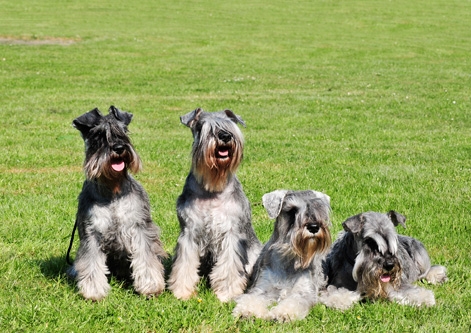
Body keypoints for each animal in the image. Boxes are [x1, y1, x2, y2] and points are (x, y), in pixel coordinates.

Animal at [68, 107, 168, 300]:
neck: (113, 191)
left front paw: (150, 286)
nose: (119, 148)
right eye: (99, 134)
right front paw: (94, 291)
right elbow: (91, 262)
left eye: (124, 131)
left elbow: (146, 258)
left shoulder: (140, 227)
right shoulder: (92, 232)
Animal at [167, 108, 262, 300]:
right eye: (202, 127)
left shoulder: (231, 233)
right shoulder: (189, 232)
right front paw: (182, 292)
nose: (225, 136)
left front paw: (227, 294)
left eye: (230, 124)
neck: (212, 188)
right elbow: (184, 264)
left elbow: (230, 266)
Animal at [233, 189, 332, 322]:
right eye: (292, 211)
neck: (289, 258)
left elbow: (294, 302)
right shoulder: (262, 288)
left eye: (318, 207)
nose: (314, 227)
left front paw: (284, 313)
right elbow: (253, 298)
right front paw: (247, 311)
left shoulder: (303, 292)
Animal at [320, 210, 450, 308]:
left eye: (392, 239)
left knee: (427, 271)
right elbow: (338, 293)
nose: (389, 265)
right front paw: (339, 300)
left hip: (420, 255)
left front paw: (425, 298)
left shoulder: (397, 286)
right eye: (370, 241)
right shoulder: (338, 284)